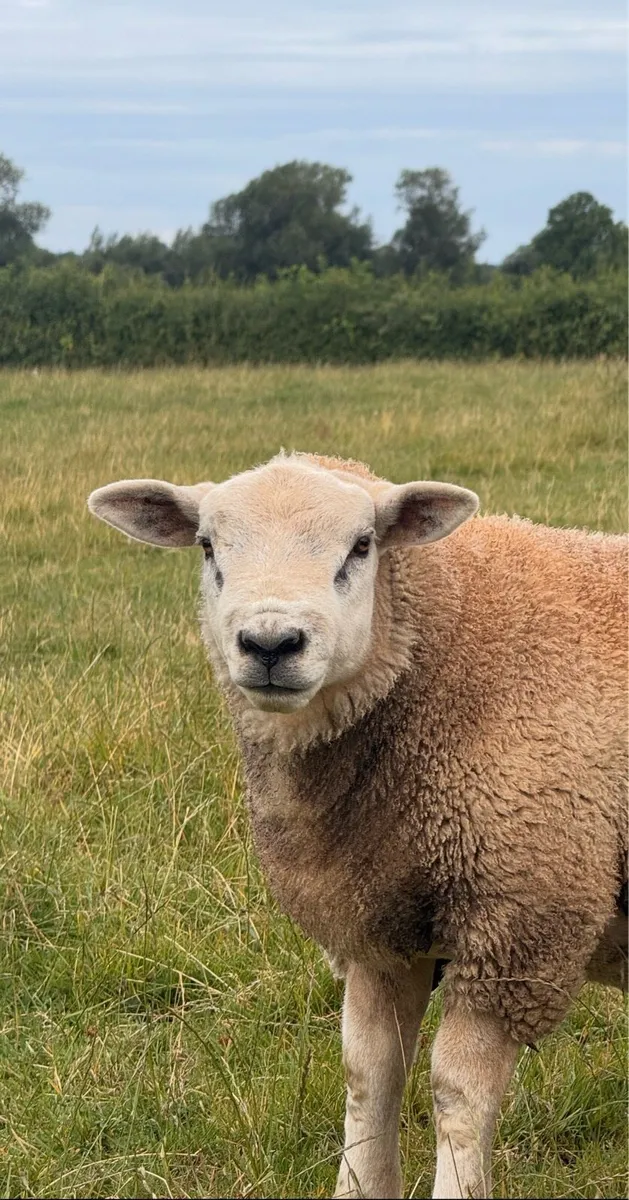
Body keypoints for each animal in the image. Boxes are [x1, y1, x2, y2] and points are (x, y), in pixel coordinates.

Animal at [88, 452, 628, 1200]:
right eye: (207, 546)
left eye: (362, 545)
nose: (270, 642)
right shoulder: (377, 925)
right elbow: (368, 1077)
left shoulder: (518, 928)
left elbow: (457, 1094)